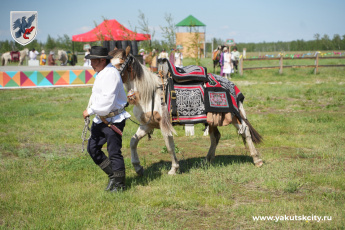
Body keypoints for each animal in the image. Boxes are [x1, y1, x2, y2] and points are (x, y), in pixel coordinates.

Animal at [109, 47, 262, 176]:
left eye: (120, 63)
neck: (150, 93)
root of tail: (232, 85)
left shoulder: (164, 125)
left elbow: (170, 146)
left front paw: (173, 169)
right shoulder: (147, 124)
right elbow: (133, 142)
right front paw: (138, 167)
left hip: (233, 116)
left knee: (245, 131)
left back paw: (257, 160)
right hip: (212, 118)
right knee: (215, 137)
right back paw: (206, 160)